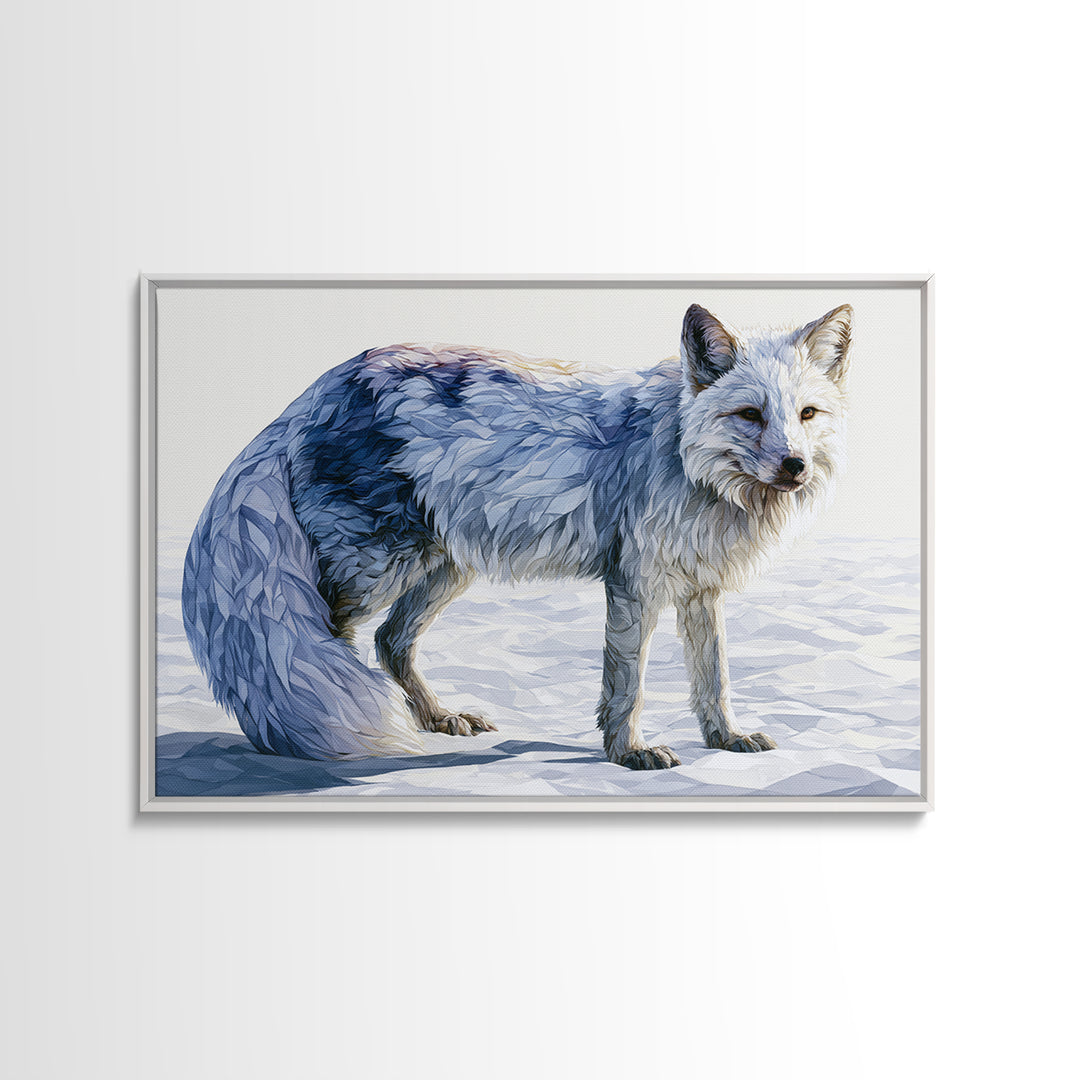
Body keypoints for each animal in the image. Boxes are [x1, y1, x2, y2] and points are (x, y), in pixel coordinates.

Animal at [182, 302, 852, 770]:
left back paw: (434, 718)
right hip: (374, 567)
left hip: (444, 569)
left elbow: (713, 677)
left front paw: (725, 738)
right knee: (327, 641)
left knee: (390, 642)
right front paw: (627, 752)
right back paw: (321, 732)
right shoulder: (632, 584)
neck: (687, 461)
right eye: (750, 415)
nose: (794, 466)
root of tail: (317, 390)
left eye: (806, 415)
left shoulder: (701, 589)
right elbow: (627, 686)